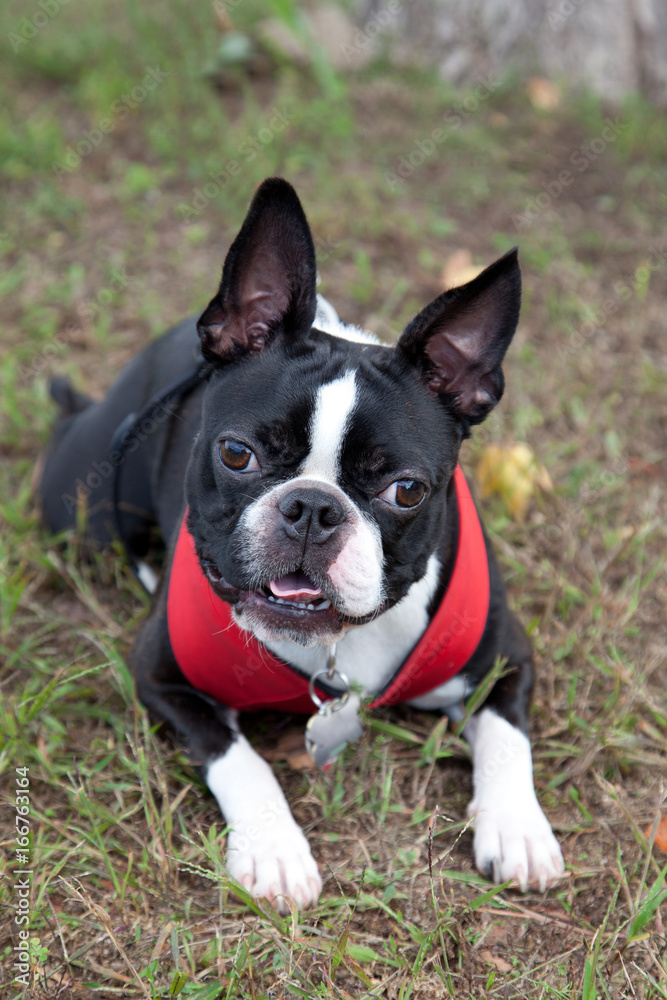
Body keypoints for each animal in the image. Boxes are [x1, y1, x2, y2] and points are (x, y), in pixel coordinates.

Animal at [39, 176, 564, 912]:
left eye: (406, 491)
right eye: (237, 453)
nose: (313, 508)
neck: (337, 647)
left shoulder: (506, 657)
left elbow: (506, 736)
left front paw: (516, 826)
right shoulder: (161, 678)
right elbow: (238, 757)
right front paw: (273, 848)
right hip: (82, 504)